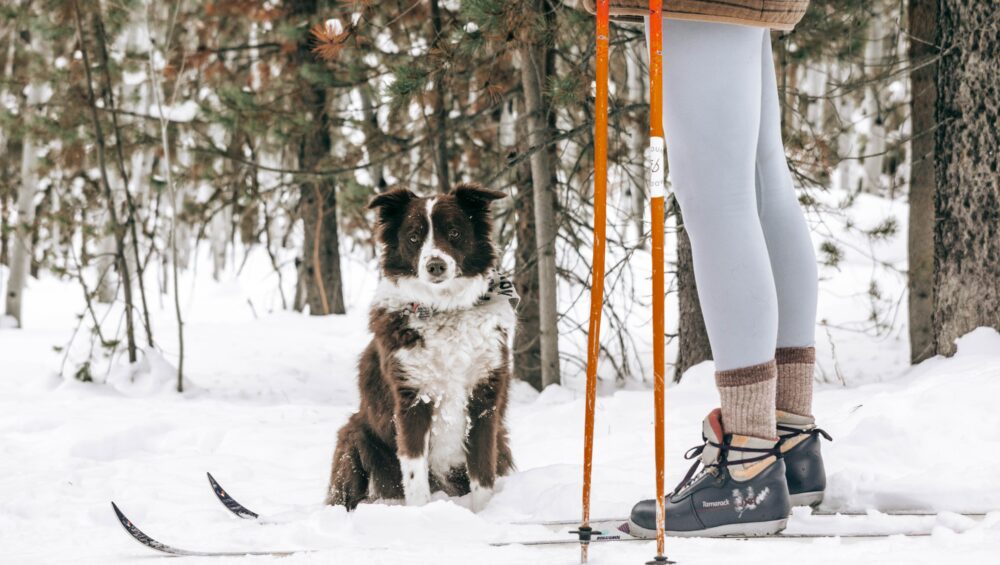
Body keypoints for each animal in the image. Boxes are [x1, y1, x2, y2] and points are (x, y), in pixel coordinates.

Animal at [326, 183, 516, 508]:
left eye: (454, 232)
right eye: (414, 237)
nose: (435, 265)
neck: (444, 309)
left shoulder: (484, 399)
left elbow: (483, 474)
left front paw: (483, 513)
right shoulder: (412, 399)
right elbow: (415, 476)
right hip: (355, 435)